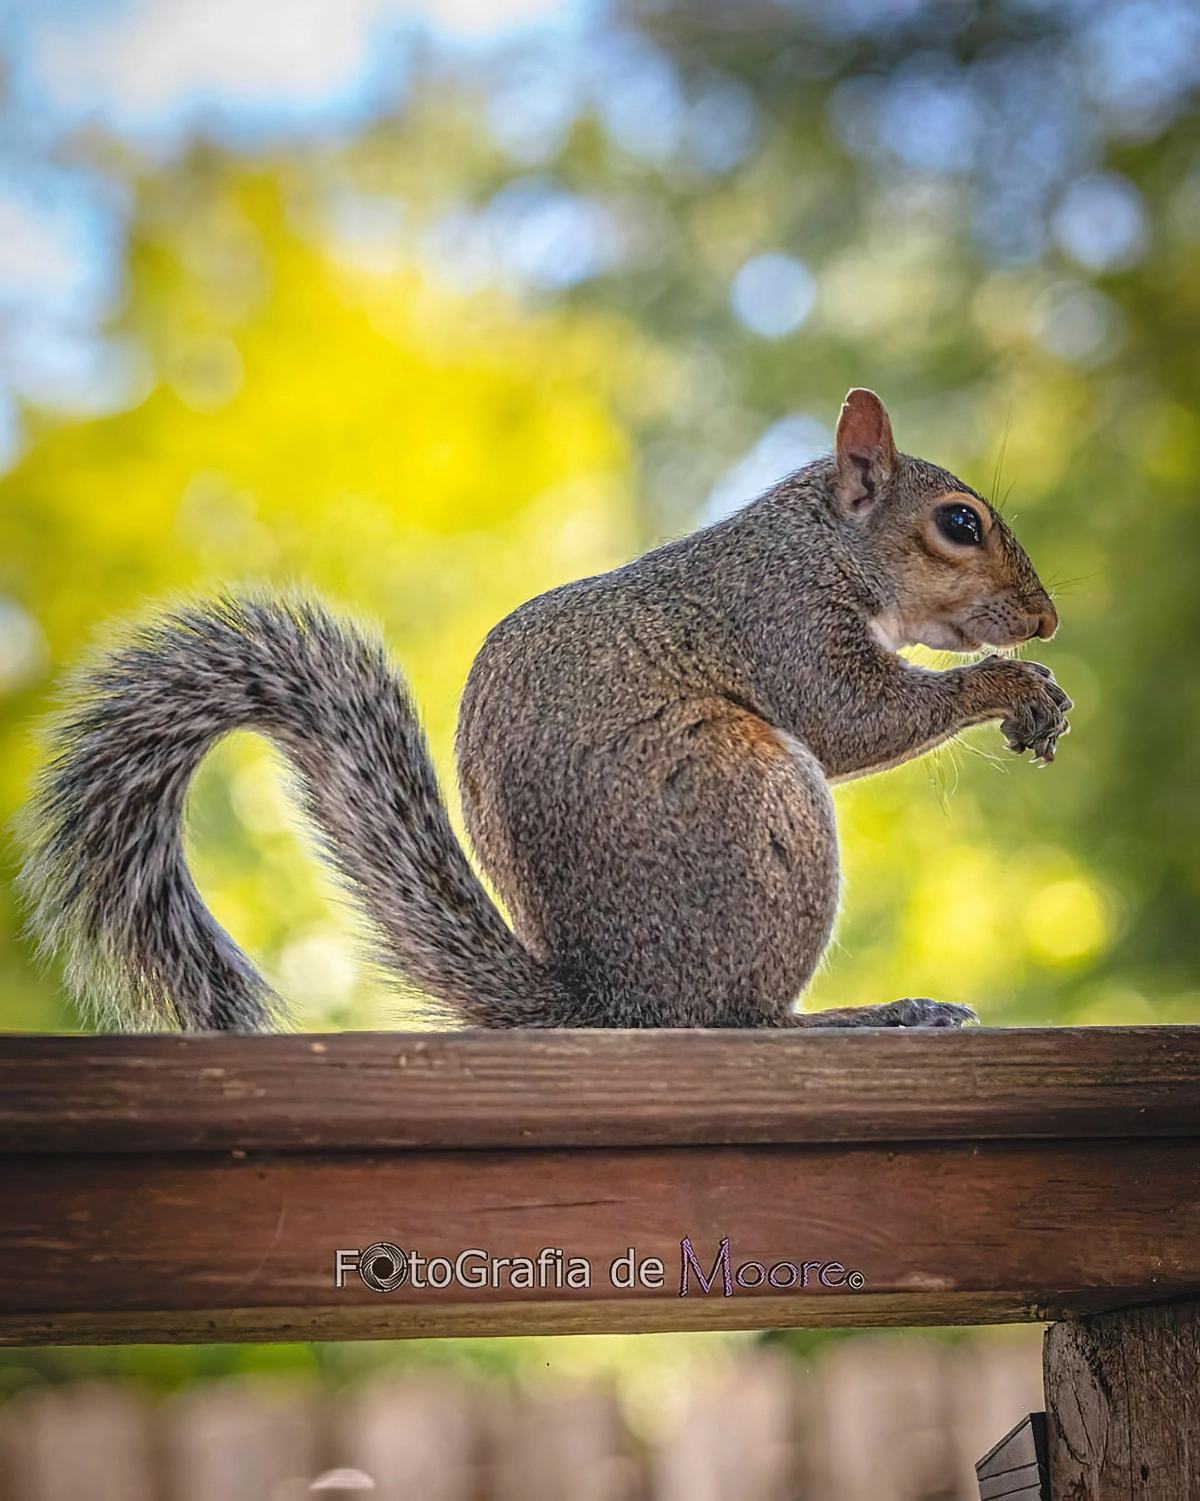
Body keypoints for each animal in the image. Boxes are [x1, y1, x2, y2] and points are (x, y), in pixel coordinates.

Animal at [18, 387, 1069, 1032]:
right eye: (960, 523)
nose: (1048, 619)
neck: (819, 541)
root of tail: (610, 1000)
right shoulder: (782, 617)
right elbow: (855, 718)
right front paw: (1014, 685)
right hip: (761, 803)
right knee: (741, 1017)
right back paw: (873, 1012)